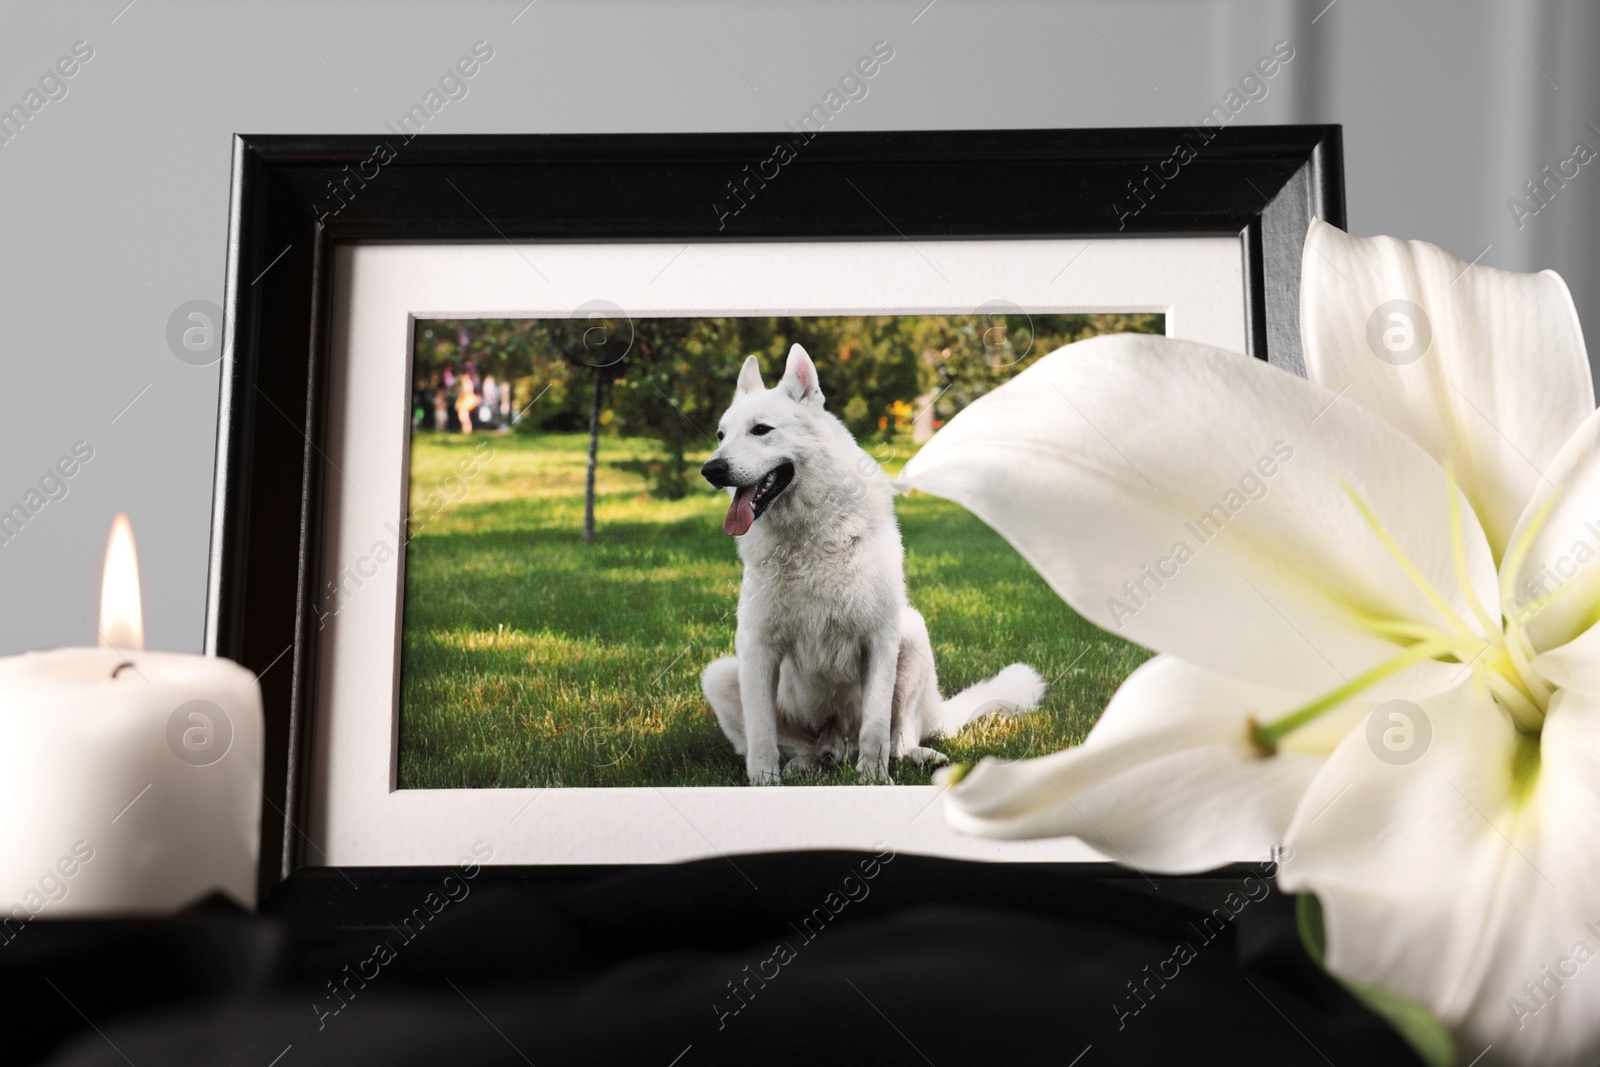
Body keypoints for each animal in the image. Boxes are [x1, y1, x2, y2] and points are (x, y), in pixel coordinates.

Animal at [694, 343, 1043, 783]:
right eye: (721, 435)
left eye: (761, 430)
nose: (711, 469)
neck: (809, 535)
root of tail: (838, 743)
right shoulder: (756, 646)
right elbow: (761, 734)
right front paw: (763, 782)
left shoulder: (879, 640)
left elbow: (876, 727)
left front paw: (874, 779)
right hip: (721, 674)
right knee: (798, 745)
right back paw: (806, 764)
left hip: (912, 634)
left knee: (899, 736)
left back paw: (913, 757)